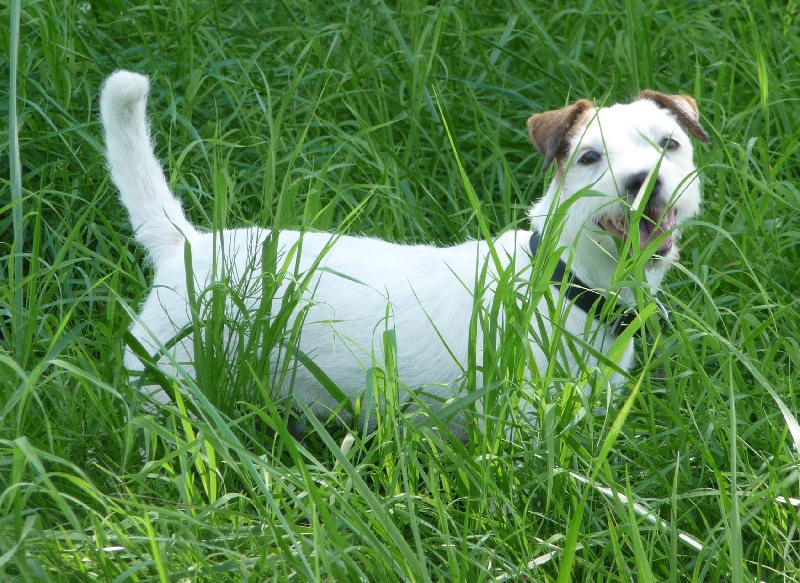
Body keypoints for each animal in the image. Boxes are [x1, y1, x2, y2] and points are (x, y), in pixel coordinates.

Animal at [98, 72, 708, 428]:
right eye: (588, 158)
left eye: (670, 144)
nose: (644, 181)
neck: (564, 281)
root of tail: (186, 246)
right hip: (166, 386)